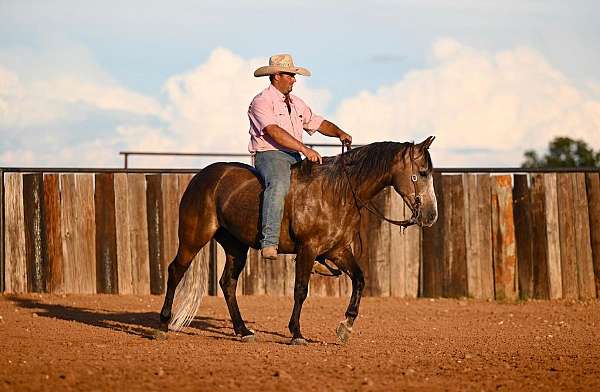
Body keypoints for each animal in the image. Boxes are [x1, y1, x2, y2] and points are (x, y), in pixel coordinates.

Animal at [159, 136, 438, 344]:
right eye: (422, 172)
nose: (431, 215)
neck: (337, 192)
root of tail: (202, 176)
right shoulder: (308, 249)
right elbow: (301, 290)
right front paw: (296, 333)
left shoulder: (337, 251)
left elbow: (359, 280)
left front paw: (345, 326)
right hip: (193, 238)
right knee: (175, 271)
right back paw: (163, 323)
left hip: (235, 246)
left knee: (227, 283)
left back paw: (243, 330)